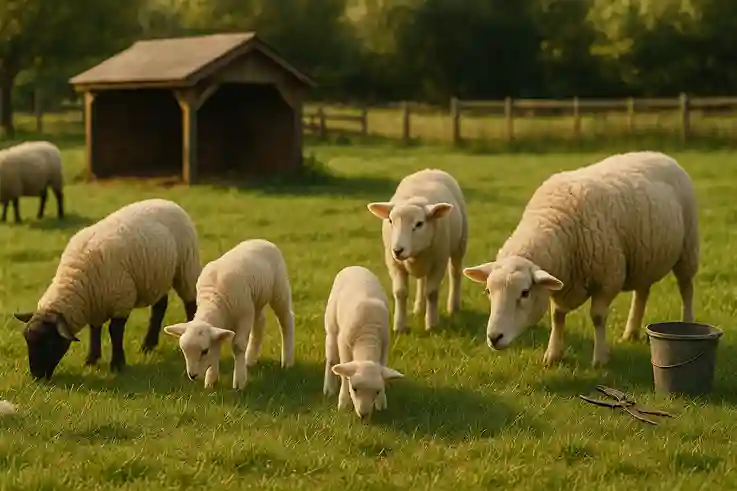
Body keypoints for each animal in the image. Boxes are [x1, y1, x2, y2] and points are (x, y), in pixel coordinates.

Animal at [13, 198, 201, 380]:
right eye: (27, 341)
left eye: (50, 342)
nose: (37, 377)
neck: (75, 279)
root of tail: (169, 202)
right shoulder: (96, 303)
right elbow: (94, 330)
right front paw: (91, 359)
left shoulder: (122, 300)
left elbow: (114, 332)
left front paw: (117, 364)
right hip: (157, 277)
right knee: (159, 308)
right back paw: (148, 345)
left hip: (186, 268)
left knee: (190, 303)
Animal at [163, 239, 295, 390]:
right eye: (183, 350)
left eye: (204, 351)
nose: (193, 375)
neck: (213, 300)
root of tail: (261, 240)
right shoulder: (221, 325)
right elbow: (217, 345)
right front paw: (211, 381)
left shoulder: (244, 316)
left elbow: (238, 346)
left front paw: (239, 382)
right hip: (256, 301)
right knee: (260, 323)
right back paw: (250, 359)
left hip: (279, 289)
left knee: (286, 319)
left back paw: (287, 361)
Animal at [324, 265, 405, 419]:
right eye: (354, 389)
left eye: (377, 391)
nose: (363, 414)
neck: (368, 338)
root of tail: (354, 266)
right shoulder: (344, 344)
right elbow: (344, 375)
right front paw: (343, 402)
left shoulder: (385, 345)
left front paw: (381, 403)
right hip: (332, 328)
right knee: (331, 360)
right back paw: (329, 389)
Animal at [367, 168, 468, 333]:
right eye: (390, 221)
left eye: (419, 224)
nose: (398, 250)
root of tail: (431, 169)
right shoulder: (394, 263)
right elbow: (400, 292)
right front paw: (399, 326)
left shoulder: (439, 262)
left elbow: (432, 292)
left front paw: (431, 325)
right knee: (422, 280)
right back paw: (419, 308)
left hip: (460, 244)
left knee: (455, 273)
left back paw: (453, 306)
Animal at [463, 151, 699, 368]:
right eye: (488, 291)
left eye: (525, 292)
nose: (494, 337)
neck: (552, 221)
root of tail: (661, 154)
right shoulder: (562, 282)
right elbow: (557, 316)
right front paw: (553, 355)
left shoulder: (608, 279)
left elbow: (597, 317)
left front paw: (600, 359)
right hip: (644, 257)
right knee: (642, 292)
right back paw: (631, 332)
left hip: (688, 247)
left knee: (686, 288)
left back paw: (687, 323)